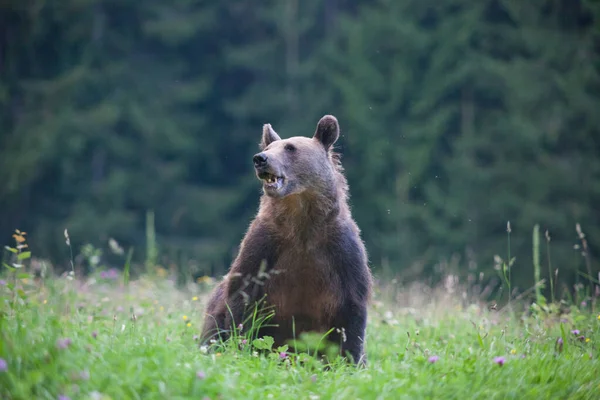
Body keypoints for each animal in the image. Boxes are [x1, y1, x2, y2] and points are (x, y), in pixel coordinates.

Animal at [199, 114, 372, 364]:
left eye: (290, 147)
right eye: (268, 147)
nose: (260, 159)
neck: (302, 220)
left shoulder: (342, 251)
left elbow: (352, 311)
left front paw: (350, 360)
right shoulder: (264, 246)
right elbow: (241, 297)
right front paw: (239, 346)